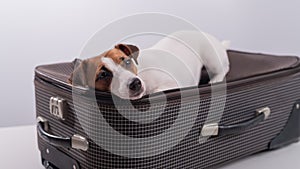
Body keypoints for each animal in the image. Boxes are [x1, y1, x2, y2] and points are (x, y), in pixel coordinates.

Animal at [69, 30, 230, 99]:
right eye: (103, 74)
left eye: (127, 61)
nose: (135, 83)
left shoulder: (173, 84)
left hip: (211, 57)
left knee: (224, 67)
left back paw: (216, 78)